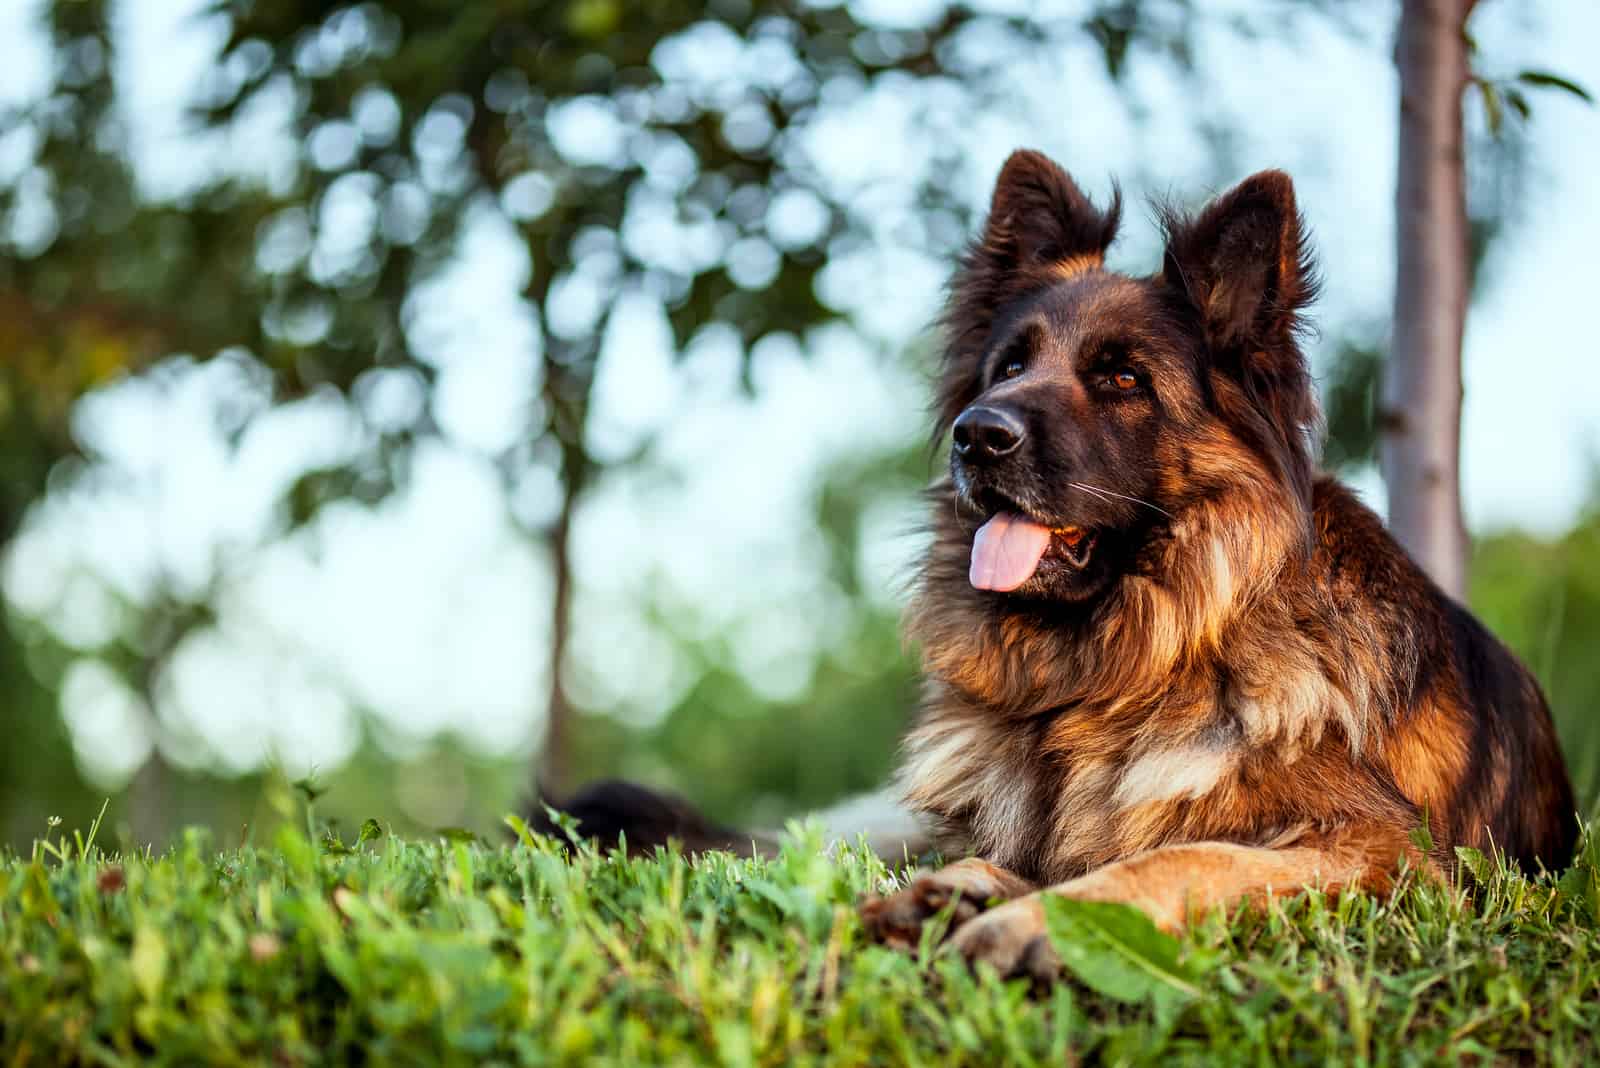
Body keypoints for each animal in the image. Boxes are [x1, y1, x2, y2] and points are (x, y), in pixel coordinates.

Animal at [537, 151, 1574, 984]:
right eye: (1008, 366)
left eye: (1122, 379)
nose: (977, 436)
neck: (1122, 673)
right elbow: (1002, 856)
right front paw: (955, 893)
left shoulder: (1392, 855)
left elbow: (1184, 856)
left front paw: (1031, 924)